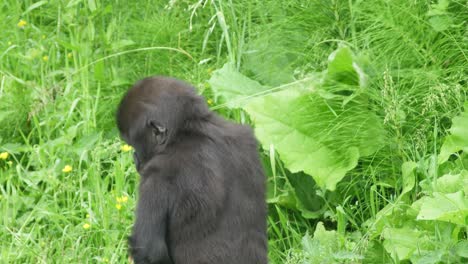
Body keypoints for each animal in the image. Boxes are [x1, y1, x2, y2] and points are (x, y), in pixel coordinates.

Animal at [116, 77, 266, 264]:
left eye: (133, 144)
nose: (135, 157)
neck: (190, 130)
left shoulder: (155, 176)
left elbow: (149, 249)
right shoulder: (243, 136)